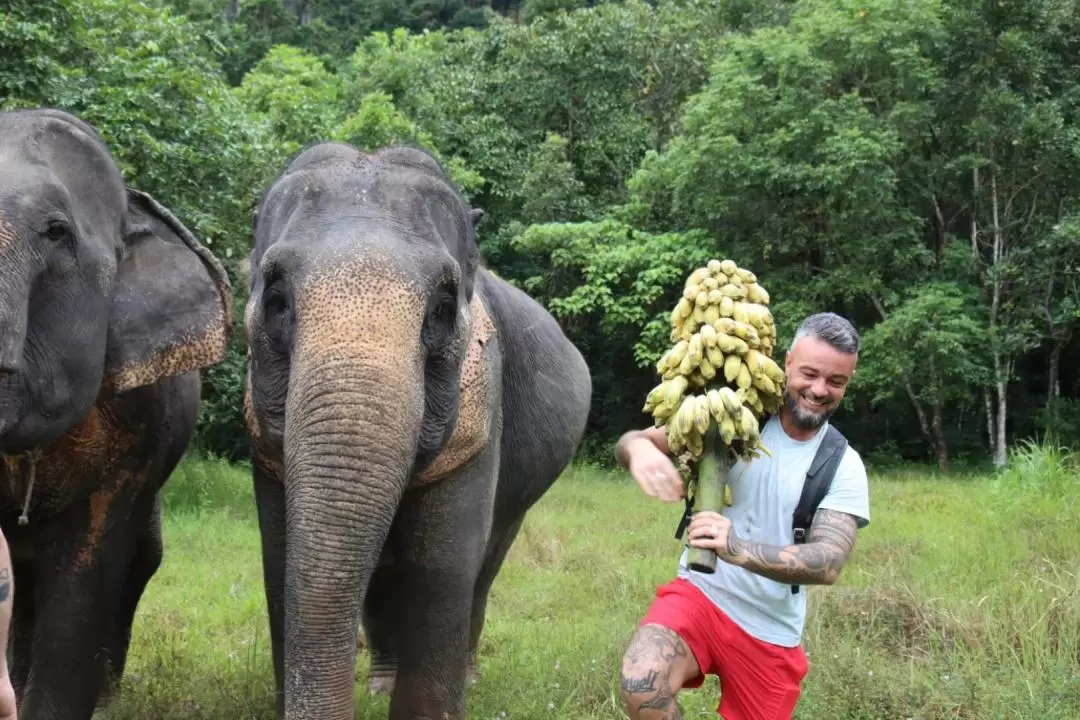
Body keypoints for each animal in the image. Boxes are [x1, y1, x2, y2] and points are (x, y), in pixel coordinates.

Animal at [245, 142, 596, 720]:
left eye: (443, 308)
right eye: (275, 301)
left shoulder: (482, 404)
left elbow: (442, 567)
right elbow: (281, 558)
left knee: (488, 558)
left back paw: (469, 675)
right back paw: (380, 683)